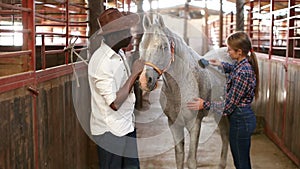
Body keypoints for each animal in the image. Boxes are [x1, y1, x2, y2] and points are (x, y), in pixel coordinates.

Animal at [138, 14, 232, 169]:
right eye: (141, 46)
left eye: (164, 46)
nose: (146, 81)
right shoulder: (173, 124)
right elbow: (179, 157)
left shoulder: (195, 123)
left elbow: (191, 161)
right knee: (225, 134)